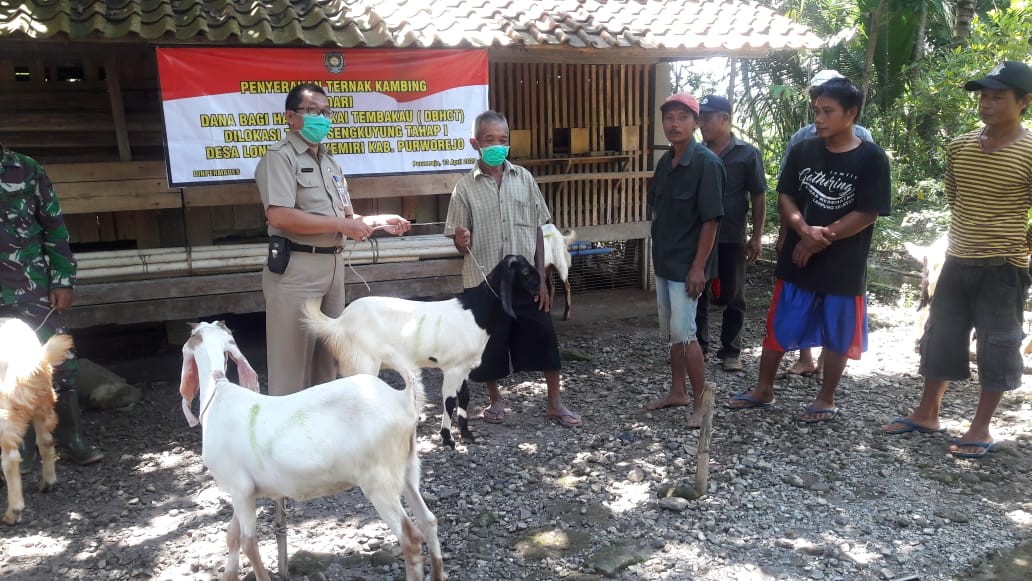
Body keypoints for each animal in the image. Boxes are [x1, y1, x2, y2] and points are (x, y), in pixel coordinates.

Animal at [179, 319, 445, 581]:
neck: (218, 395)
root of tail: (402, 399)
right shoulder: (241, 489)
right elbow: (232, 537)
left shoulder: (240, 488)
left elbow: (248, 543)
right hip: (406, 467)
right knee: (428, 521)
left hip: (379, 479)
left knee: (410, 538)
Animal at [303, 252, 540, 447]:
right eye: (525, 271)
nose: (539, 286)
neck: (474, 312)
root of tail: (340, 321)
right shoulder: (452, 368)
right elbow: (449, 400)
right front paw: (448, 439)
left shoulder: (464, 367)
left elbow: (464, 398)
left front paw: (467, 435)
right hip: (365, 360)